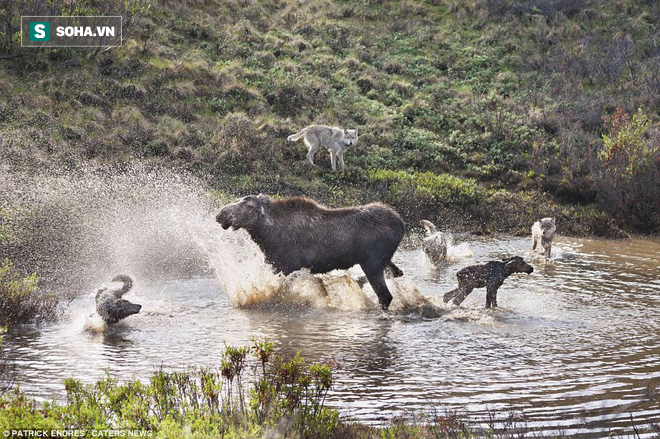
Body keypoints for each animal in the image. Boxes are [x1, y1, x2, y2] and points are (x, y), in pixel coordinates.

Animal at [217, 196, 404, 310]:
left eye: (248, 205)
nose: (220, 214)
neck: (266, 236)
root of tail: (401, 225)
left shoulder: (287, 267)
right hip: (380, 261)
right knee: (397, 273)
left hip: (372, 262)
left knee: (385, 296)